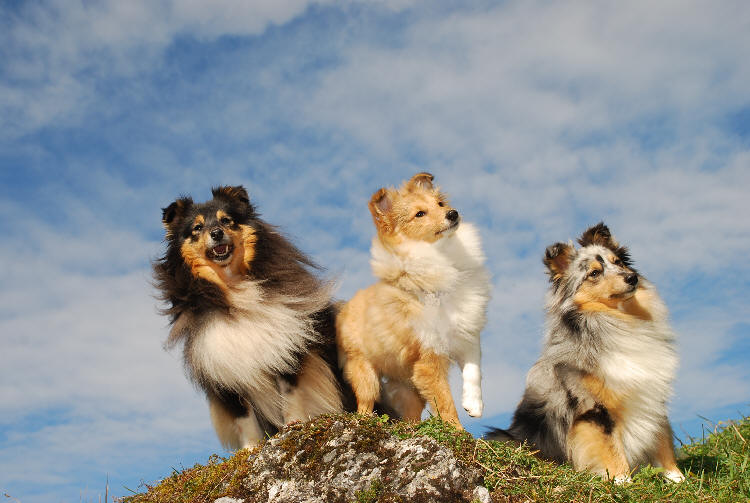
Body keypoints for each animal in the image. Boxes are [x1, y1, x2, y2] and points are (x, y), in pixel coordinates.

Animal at [154, 187, 354, 450]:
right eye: (197, 227)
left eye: (226, 220)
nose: (216, 233)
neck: (234, 288)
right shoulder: (223, 369)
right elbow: (244, 418)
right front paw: (249, 450)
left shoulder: (284, 348)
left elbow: (290, 395)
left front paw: (293, 427)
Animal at [336, 173, 490, 430]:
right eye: (419, 214)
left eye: (440, 204)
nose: (453, 213)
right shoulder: (428, 359)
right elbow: (445, 402)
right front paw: (458, 431)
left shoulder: (466, 334)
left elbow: (473, 371)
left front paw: (473, 405)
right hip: (364, 370)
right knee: (365, 402)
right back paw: (367, 421)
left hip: (408, 388)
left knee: (410, 414)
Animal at [488, 224, 688, 484]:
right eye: (594, 273)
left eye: (618, 262)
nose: (631, 278)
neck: (617, 322)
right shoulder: (593, 408)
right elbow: (611, 449)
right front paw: (623, 482)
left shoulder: (652, 396)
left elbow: (663, 441)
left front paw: (679, 479)